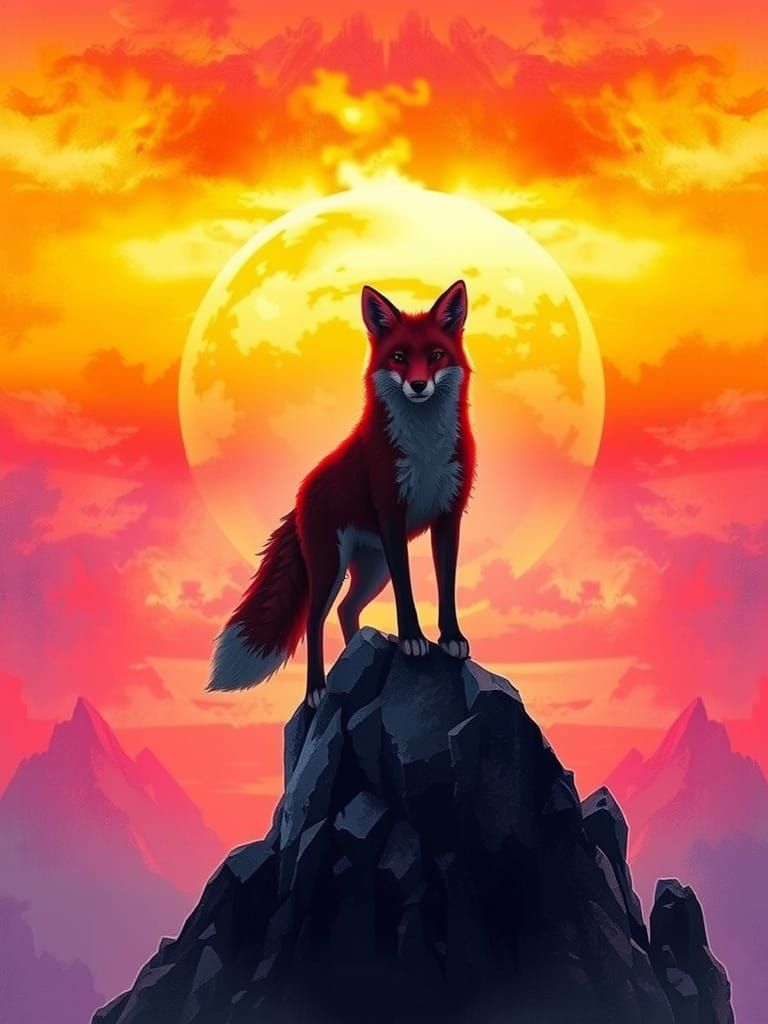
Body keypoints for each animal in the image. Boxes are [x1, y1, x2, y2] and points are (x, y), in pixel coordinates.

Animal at [206, 278, 476, 708]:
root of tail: (301, 493)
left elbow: (446, 584)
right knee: (315, 621)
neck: (425, 452)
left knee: (347, 610)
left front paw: (451, 638)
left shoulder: (449, 515)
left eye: (435, 355)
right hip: (330, 566)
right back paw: (317, 690)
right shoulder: (391, 515)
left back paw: (359, 655)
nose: (419, 385)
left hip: (372, 569)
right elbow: (407, 590)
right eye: (399, 357)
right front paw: (413, 639)